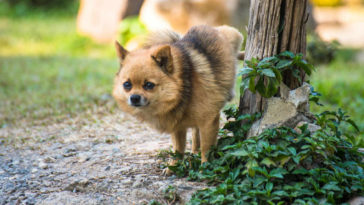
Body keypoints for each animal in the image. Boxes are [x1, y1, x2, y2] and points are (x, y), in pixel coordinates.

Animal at [113, 24, 245, 173]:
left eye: (149, 85)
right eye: (127, 85)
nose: (134, 98)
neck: (182, 91)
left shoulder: (209, 122)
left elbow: (206, 149)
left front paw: (204, 168)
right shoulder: (178, 126)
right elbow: (178, 148)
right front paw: (174, 166)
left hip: (234, 35)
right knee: (195, 134)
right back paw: (194, 152)